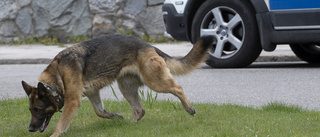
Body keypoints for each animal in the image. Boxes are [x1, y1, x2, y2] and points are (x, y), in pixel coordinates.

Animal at [21, 33, 212, 136]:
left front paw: (55, 135)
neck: (57, 75)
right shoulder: (92, 93)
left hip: (155, 82)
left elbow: (61, 124)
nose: (30, 129)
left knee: (177, 88)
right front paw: (115, 116)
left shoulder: (73, 101)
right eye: (30, 110)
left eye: (37, 109)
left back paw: (189, 109)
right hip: (125, 87)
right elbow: (99, 111)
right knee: (140, 109)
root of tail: (148, 45)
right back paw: (130, 125)